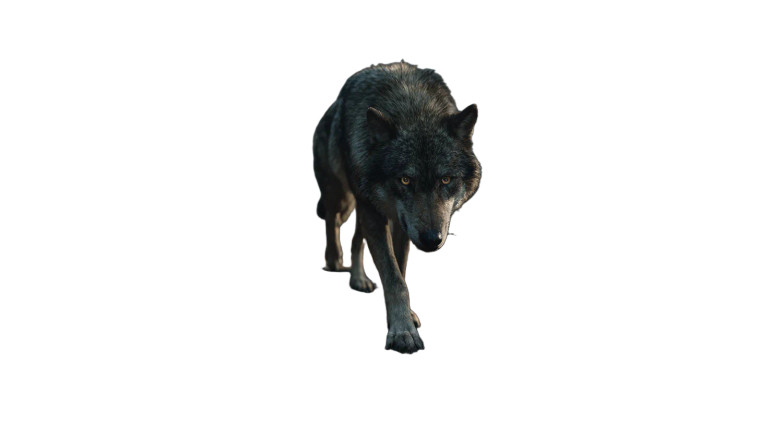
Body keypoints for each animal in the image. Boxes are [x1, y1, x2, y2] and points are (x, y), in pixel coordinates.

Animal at [312, 61, 481, 354]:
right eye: (405, 179)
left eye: (445, 179)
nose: (431, 240)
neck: (414, 108)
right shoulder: (376, 213)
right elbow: (394, 279)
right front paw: (403, 333)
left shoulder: (400, 224)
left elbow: (399, 271)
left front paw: (405, 317)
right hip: (345, 198)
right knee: (332, 219)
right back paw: (334, 261)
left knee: (356, 239)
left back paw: (359, 280)